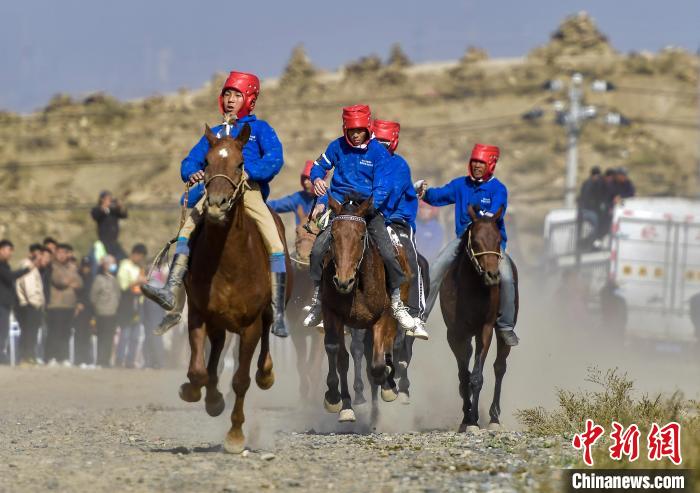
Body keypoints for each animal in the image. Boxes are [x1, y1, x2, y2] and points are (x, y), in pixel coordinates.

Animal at [180, 124, 292, 454]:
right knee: (216, 351)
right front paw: (197, 393)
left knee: (267, 336)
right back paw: (212, 396)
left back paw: (265, 373)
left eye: (241, 164)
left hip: (266, 314)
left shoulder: (249, 325)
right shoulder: (198, 314)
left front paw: (234, 436)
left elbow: (241, 380)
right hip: (219, 322)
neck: (228, 262)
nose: (216, 204)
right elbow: (198, 370)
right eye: (205, 162)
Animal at [318, 194, 404, 420]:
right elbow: (336, 353)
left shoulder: (383, 316)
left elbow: (377, 365)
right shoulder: (332, 313)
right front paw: (334, 399)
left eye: (361, 235)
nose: (343, 281)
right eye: (333, 236)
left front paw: (388, 385)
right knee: (345, 358)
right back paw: (347, 406)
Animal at [440, 207, 516, 430]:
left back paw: (494, 417)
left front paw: (473, 420)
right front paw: (466, 417)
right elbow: (463, 375)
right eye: (475, 241)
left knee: (499, 367)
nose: (493, 275)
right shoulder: (455, 334)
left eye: (498, 239)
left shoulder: (486, 329)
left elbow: (476, 377)